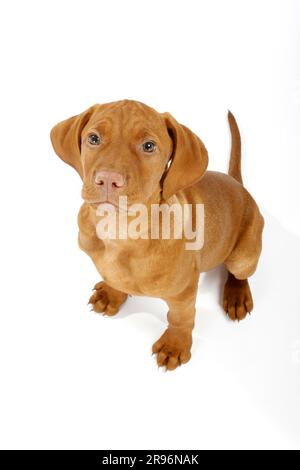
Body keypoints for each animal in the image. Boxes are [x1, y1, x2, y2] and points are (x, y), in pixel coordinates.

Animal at [50, 100, 264, 370]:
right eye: (94, 138)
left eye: (149, 146)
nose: (108, 180)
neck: (120, 229)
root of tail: (240, 186)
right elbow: (114, 278)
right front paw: (112, 293)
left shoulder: (184, 292)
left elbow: (180, 317)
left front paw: (175, 345)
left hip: (243, 256)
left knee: (240, 273)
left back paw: (236, 295)